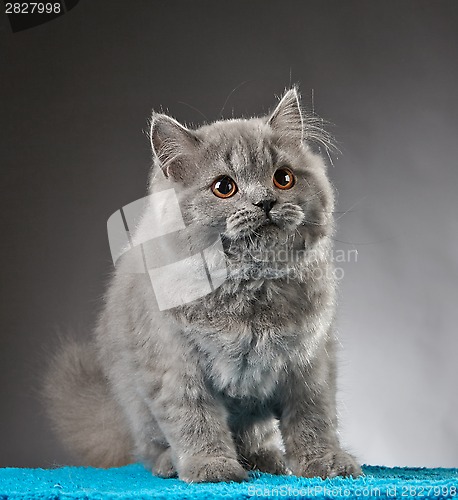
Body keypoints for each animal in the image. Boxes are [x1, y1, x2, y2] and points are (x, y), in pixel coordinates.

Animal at [45, 89, 362, 480]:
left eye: (283, 178)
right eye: (224, 187)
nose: (266, 201)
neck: (249, 286)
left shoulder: (310, 360)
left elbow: (313, 418)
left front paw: (326, 462)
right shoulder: (175, 366)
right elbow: (196, 421)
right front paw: (212, 467)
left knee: (255, 433)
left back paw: (264, 460)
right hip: (137, 404)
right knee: (149, 447)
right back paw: (171, 464)